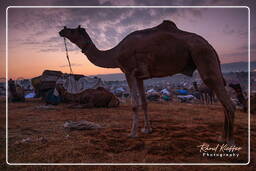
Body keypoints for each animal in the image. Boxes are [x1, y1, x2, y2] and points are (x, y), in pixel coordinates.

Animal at [59, 19, 235, 143]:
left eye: (73, 30)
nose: (62, 30)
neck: (115, 53)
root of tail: (211, 46)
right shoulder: (140, 76)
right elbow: (144, 102)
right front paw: (147, 130)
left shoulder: (129, 72)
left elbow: (134, 104)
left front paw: (132, 133)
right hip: (207, 57)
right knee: (223, 103)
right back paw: (222, 138)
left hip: (202, 54)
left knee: (227, 102)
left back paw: (230, 142)